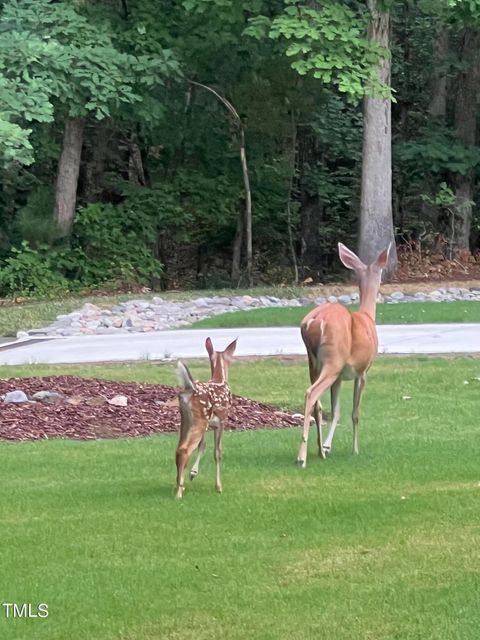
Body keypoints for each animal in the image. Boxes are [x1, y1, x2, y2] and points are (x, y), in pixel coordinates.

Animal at [175, 338, 237, 498]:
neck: (220, 378)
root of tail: (190, 388)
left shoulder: (210, 424)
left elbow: (202, 446)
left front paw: (192, 473)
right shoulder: (221, 422)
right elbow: (217, 452)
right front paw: (218, 487)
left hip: (186, 421)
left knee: (178, 448)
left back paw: (179, 485)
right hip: (200, 420)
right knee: (184, 449)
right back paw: (179, 492)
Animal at [298, 242, 392, 468]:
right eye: (382, 271)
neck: (367, 317)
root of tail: (314, 321)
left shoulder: (340, 377)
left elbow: (337, 411)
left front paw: (327, 447)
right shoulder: (363, 370)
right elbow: (355, 412)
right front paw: (355, 450)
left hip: (314, 362)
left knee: (318, 404)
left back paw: (318, 452)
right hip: (333, 359)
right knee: (311, 393)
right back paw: (301, 457)